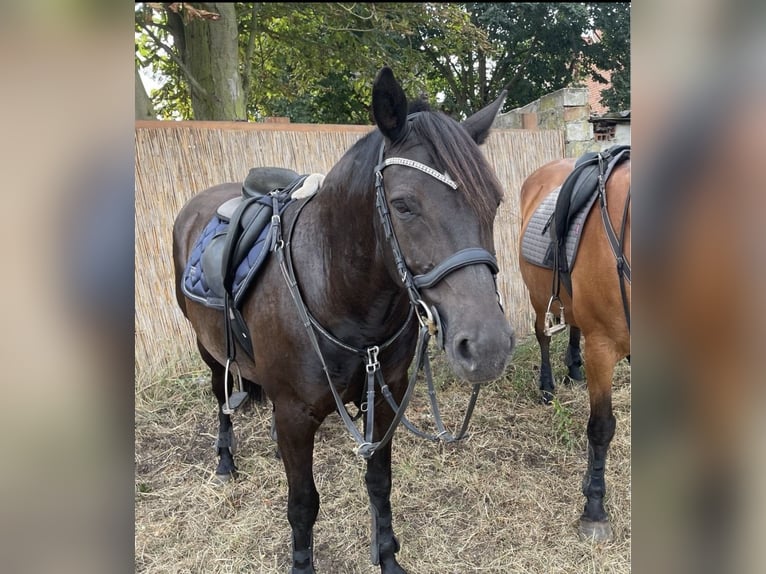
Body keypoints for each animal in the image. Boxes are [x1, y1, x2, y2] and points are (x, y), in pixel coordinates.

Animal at [520, 150, 632, 544]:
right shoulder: (602, 347)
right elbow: (601, 428)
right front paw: (594, 507)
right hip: (539, 297)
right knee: (542, 334)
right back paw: (547, 386)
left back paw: (573, 368)